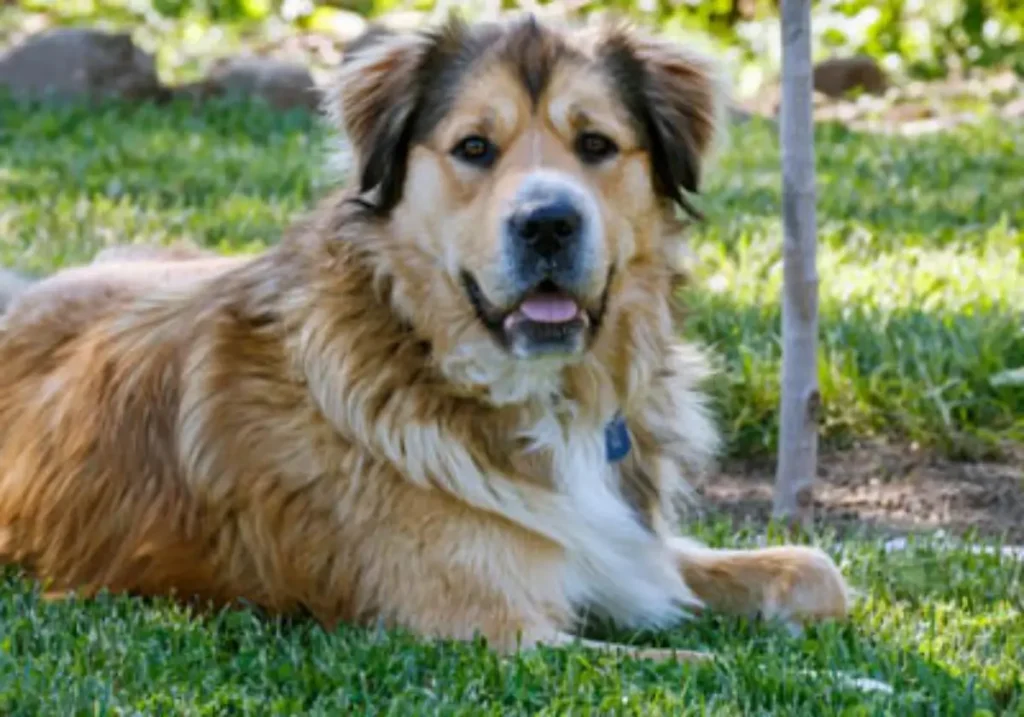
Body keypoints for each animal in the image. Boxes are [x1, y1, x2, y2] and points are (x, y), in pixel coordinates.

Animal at [0, 15, 847, 659]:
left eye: (597, 144)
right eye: (474, 147)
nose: (548, 223)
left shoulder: (624, 549)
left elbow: (818, 571)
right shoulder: (490, 630)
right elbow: (721, 669)